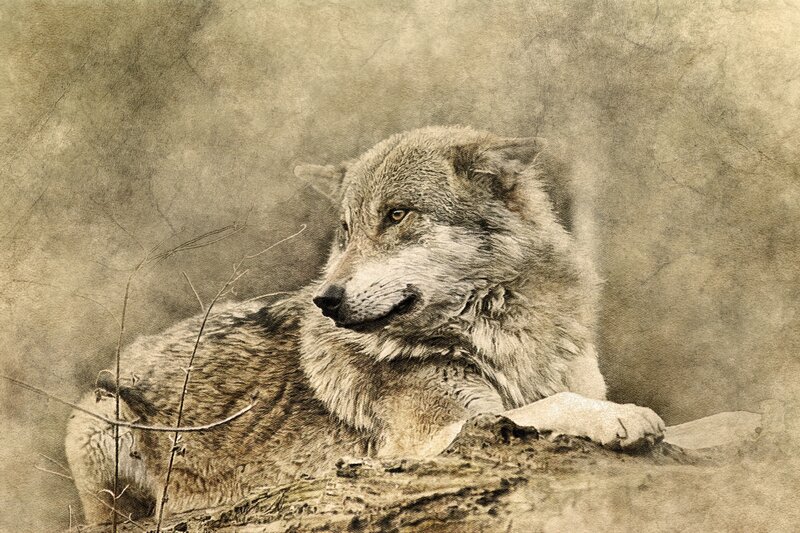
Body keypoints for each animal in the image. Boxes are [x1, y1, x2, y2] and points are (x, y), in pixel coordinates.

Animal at [65, 126, 665, 523]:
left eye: (396, 215)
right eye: (347, 230)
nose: (325, 299)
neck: (501, 333)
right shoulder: (431, 439)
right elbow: (552, 405)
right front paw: (624, 416)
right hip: (102, 417)